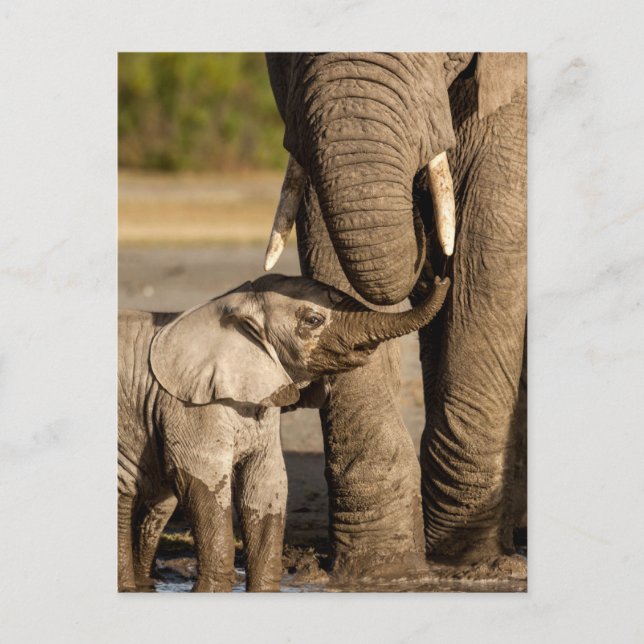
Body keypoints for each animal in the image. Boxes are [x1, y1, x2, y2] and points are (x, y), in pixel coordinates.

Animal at [117, 272, 449, 591]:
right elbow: (203, 481)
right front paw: (214, 589)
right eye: (313, 320)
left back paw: (144, 584)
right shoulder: (189, 406)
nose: (439, 279)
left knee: (157, 506)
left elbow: (265, 485)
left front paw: (264, 589)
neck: (230, 306)